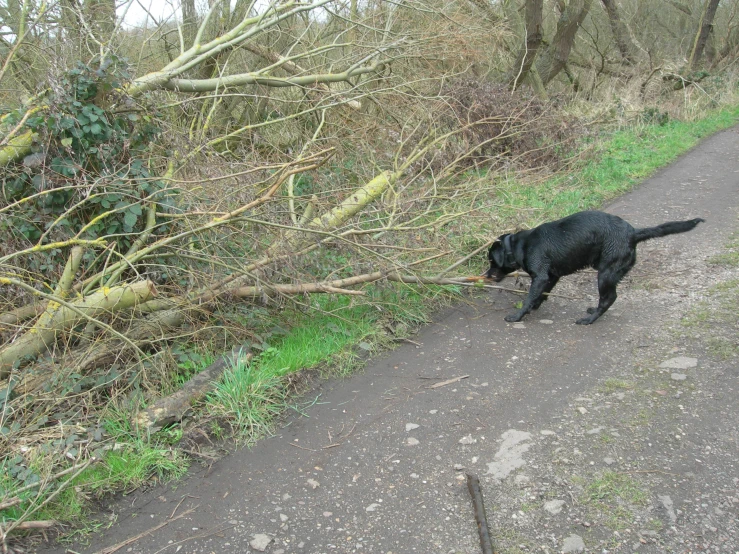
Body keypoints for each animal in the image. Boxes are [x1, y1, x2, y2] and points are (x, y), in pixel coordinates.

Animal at [486, 210, 704, 324]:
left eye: (491, 261)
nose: (486, 275)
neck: (518, 246)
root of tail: (633, 233)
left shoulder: (540, 276)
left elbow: (530, 296)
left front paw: (518, 315)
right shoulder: (551, 276)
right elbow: (542, 294)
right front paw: (534, 306)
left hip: (605, 273)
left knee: (610, 298)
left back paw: (590, 319)